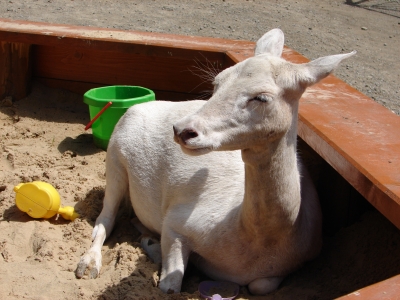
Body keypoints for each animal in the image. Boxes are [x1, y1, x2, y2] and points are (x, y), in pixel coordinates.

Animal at [76, 28, 356, 296]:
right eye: (217, 82)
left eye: (261, 97)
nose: (182, 130)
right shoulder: (178, 221)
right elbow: (170, 286)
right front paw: (155, 250)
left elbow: (260, 286)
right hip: (115, 158)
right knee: (104, 219)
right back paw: (89, 264)